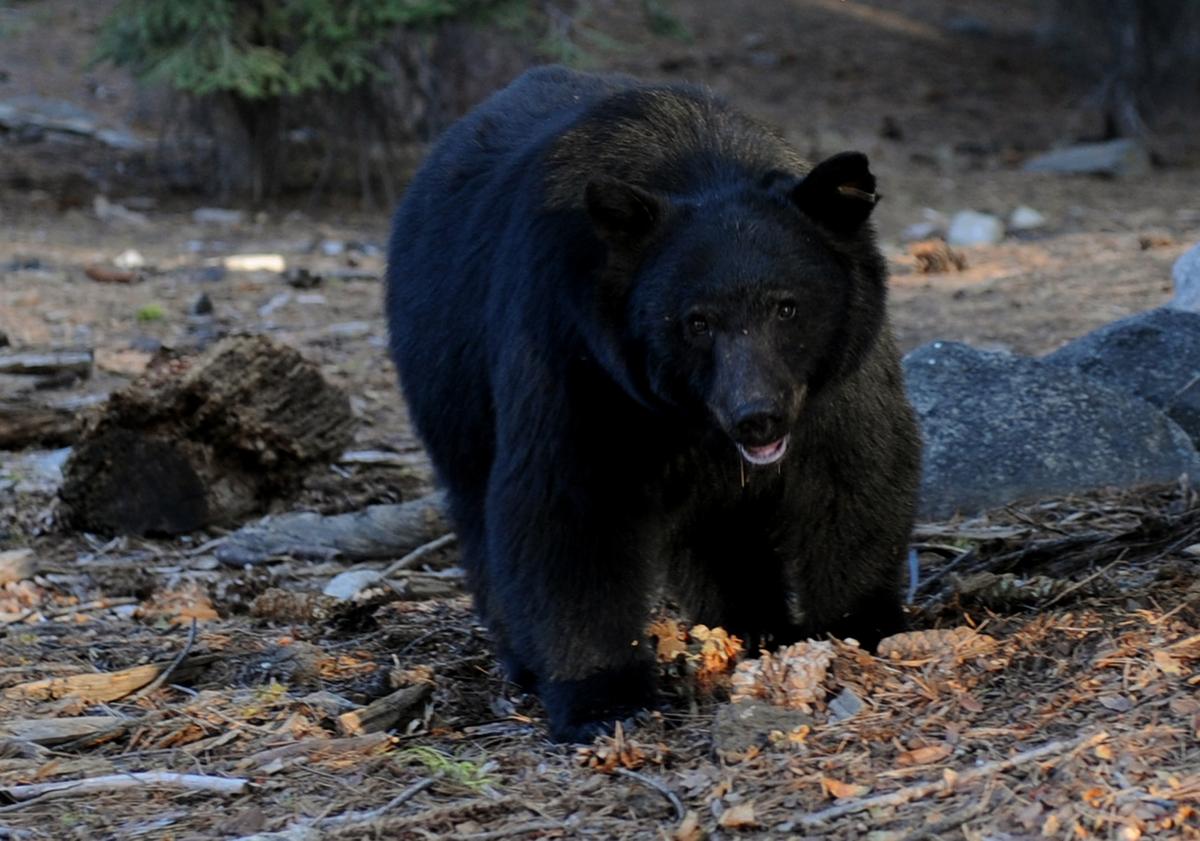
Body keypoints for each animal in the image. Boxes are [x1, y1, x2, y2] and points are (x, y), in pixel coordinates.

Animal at [386, 66, 922, 743]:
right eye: (696, 321)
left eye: (788, 306)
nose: (757, 417)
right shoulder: (577, 354)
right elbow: (571, 506)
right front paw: (603, 698)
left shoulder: (837, 376)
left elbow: (854, 472)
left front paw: (860, 627)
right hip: (448, 378)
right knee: (479, 509)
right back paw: (525, 660)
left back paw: (751, 625)